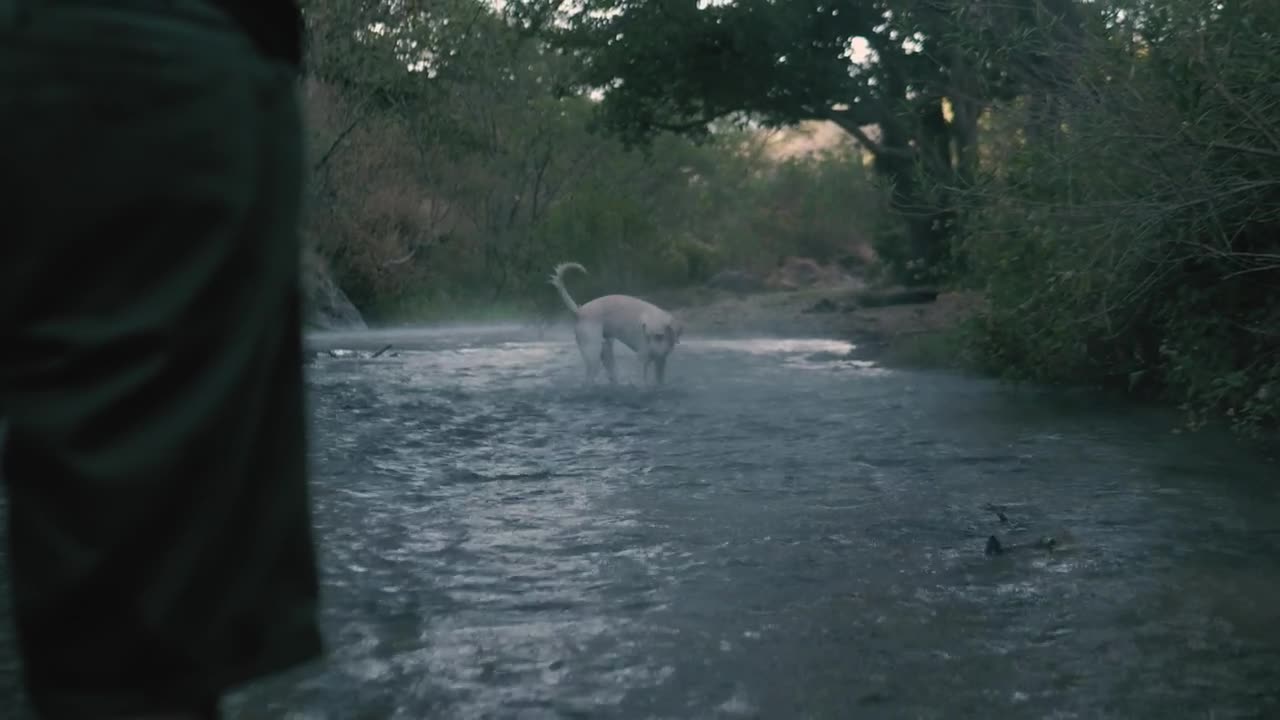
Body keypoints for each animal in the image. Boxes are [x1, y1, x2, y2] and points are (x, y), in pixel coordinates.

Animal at [547, 262, 686, 384]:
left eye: (659, 336)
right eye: (646, 337)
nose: (651, 354)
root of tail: (580, 311)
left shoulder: (661, 362)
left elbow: (659, 381)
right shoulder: (642, 360)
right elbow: (643, 382)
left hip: (607, 354)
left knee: (611, 375)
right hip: (593, 356)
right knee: (588, 380)